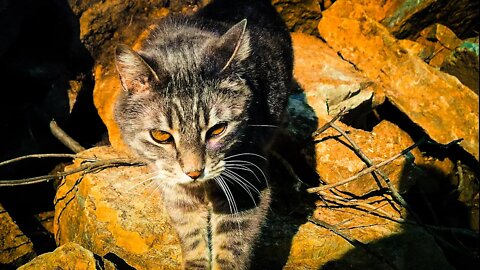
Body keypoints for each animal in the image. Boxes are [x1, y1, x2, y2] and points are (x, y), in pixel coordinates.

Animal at [113, 1, 292, 268]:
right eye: (161, 136)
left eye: (217, 129)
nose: (194, 172)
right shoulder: (173, 186)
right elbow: (192, 235)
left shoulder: (246, 177)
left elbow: (231, 247)